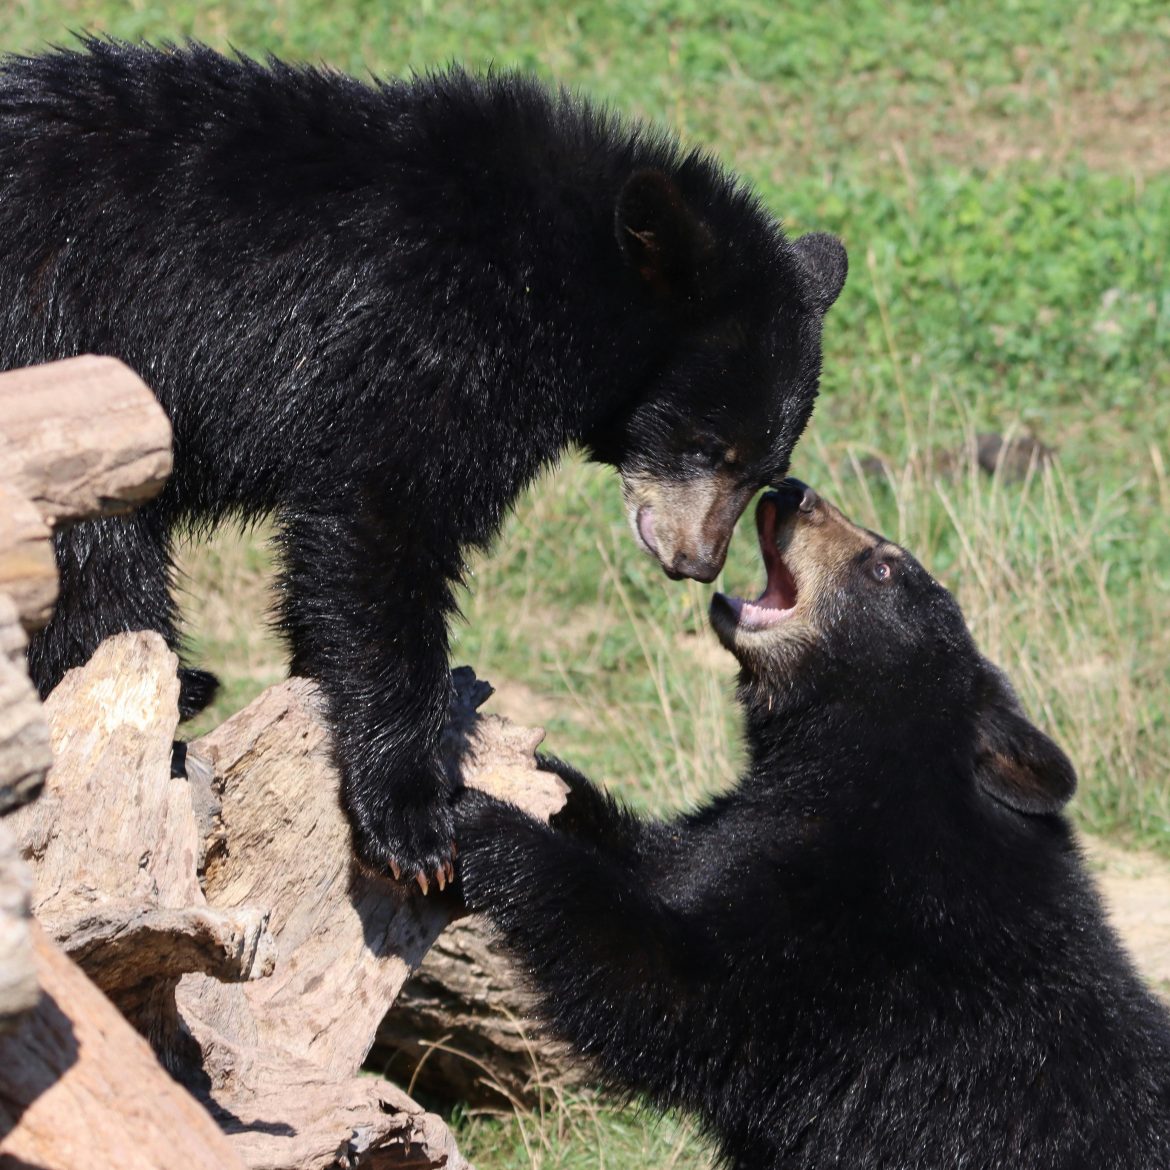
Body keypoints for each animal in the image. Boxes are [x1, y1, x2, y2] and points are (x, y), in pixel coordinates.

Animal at [451, 479, 1170, 1165]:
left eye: (884, 567)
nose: (792, 490)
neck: (866, 767)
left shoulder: (849, 942)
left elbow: (667, 987)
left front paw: (487, 827)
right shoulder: (757, 831)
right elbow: (672, 858)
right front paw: (514, 767)